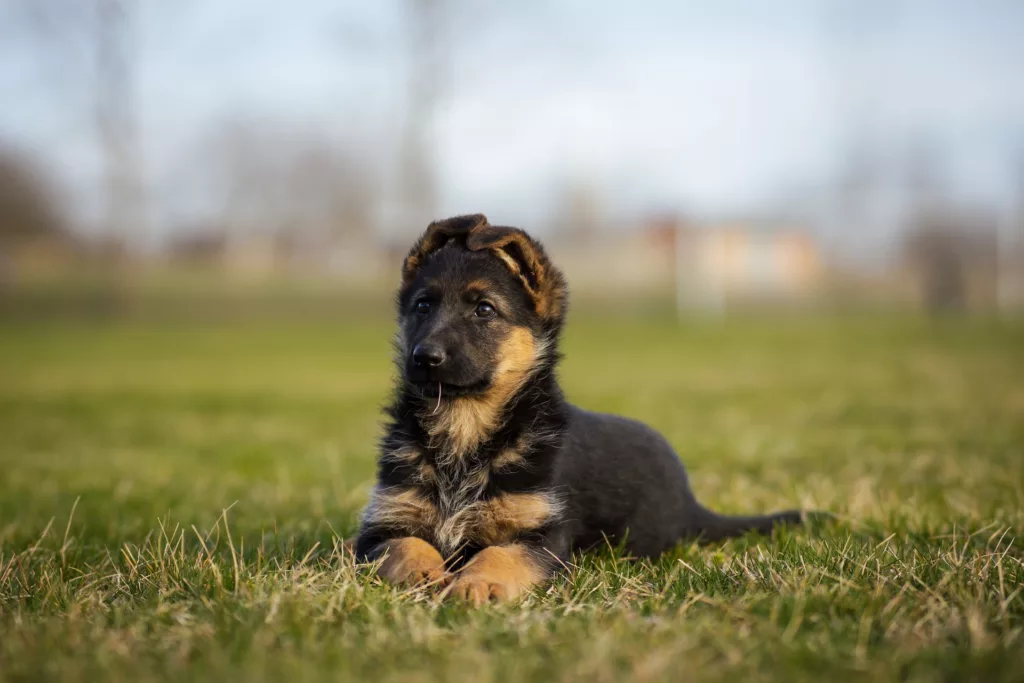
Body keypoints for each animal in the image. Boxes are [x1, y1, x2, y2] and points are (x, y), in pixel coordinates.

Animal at [356, 216, 811, 606]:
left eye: (484, 309)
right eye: (422, 306)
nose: (424, 357)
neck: (465, 427)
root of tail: (690, 502)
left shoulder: (546, 537)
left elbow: (501, 554)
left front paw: (477, 583)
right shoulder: (381, 525)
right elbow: (405, 544)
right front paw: (426, 574)